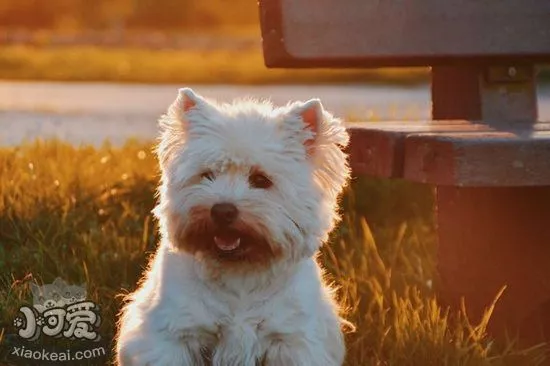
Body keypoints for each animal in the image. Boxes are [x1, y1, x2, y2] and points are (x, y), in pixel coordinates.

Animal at [116, 88, 354, 366]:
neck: (239, 272)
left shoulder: (292, 340)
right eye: (207, 175)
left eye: (261, 179)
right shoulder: (174, 335)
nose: (222, 210)